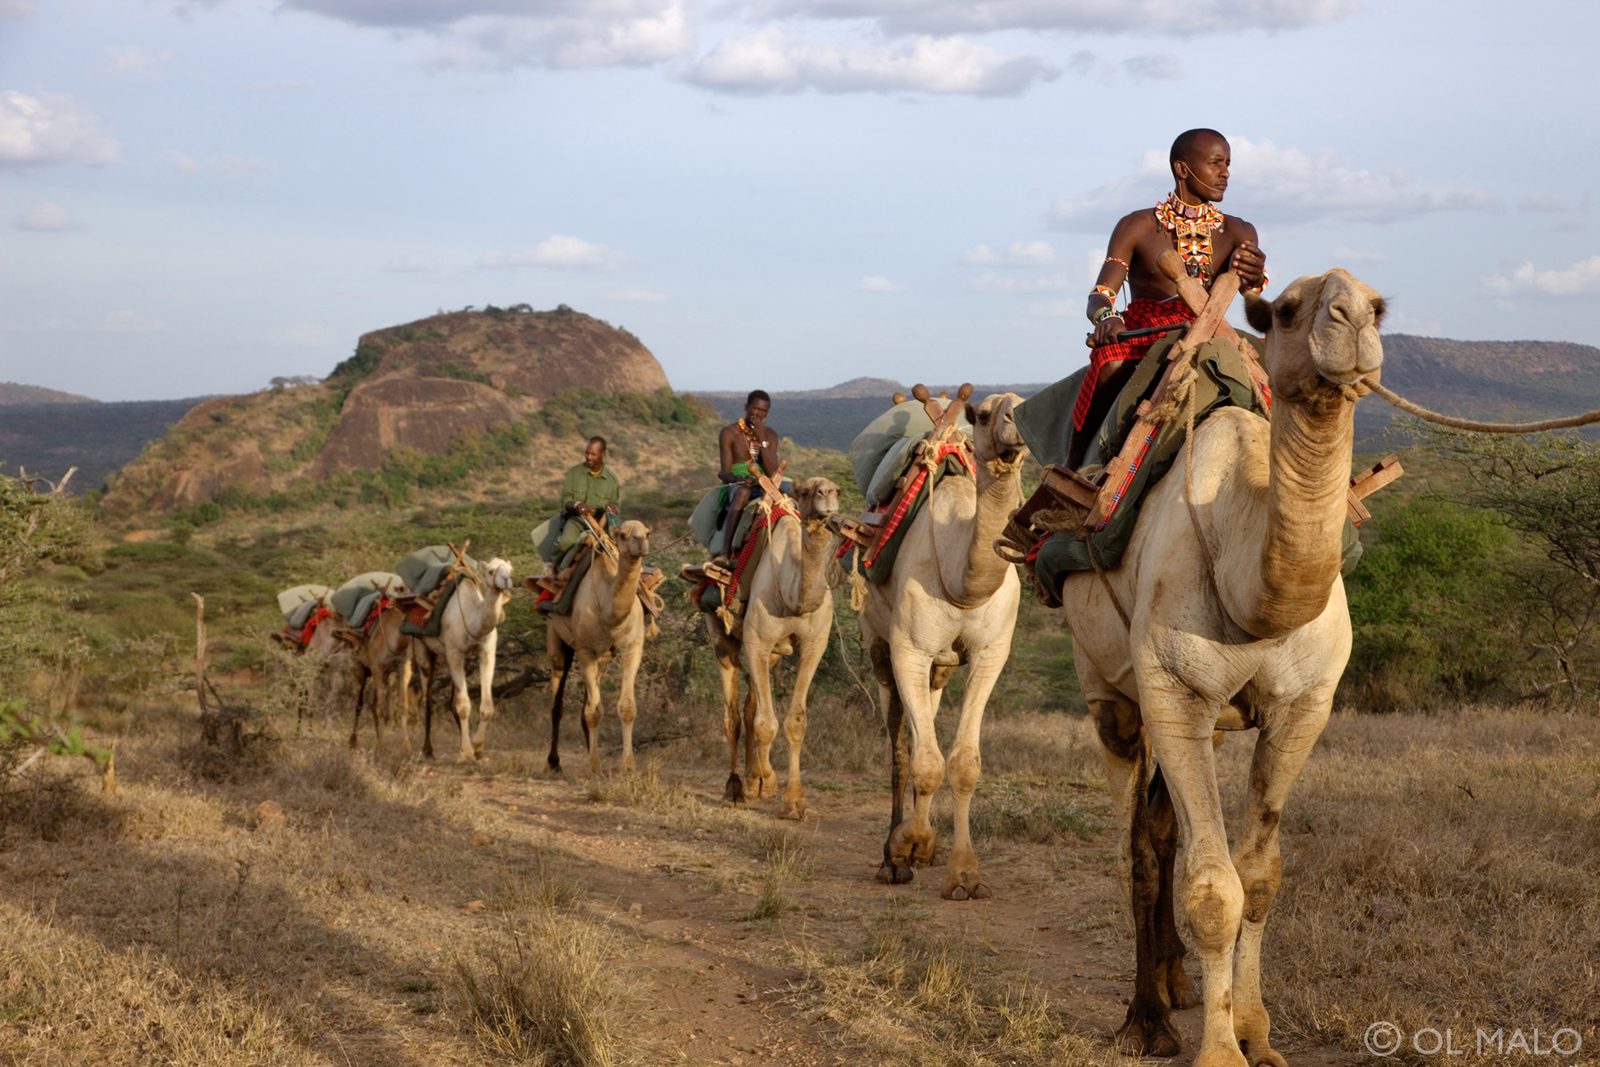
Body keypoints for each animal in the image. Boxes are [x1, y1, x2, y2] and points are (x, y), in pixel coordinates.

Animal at [402, 556, 515, 763]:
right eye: (491, 570)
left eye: (510, 570)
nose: (506, 580)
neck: (472, 619)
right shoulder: (454, 653)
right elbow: (463, 706)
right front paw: (469, 753)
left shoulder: (487, 653)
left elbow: (486, 706)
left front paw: (477, 747)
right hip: (421, 646)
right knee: (427, 697)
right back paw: (427, 750)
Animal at [544, 520, 652, 775]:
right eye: (622, 535)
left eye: (647, 532)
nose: (641, 542)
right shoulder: (585, 651)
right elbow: (593, 711)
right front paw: (594, 765)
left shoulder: (632, 647)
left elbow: (626, 707)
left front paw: (628, 765)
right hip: (556, 640)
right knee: (557, 702)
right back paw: (553, 762)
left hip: (602, 657)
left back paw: (587, 749)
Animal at [706, 477, 840, 816]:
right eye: (806, 491)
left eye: (838, 490)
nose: (827, 495)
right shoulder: (757, 642)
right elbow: (766, 723)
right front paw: (767, 781)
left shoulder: (814, 645)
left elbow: (796, 721)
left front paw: (793, 801)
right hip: (722, 638)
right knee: (732, 716)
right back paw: (735, 788)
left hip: (775, 655)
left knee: (749, 706)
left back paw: (751, 779)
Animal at [860, 392, 1027, 900]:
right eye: (987, 414)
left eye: (1024, 402)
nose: (1017, 426)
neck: (961, 578)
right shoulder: (908, 649)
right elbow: (924, 761)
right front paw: (909, 845)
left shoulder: (991, 654)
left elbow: (963, 763)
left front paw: (964, 875)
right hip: (878, 645)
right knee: (899, 744)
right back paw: (890, 857)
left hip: (941, 666)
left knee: (925, 725)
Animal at [1060, 269, 1385, 1067]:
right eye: (1288, 309)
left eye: (1380, 305)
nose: (1353, 316)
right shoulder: (1174, 693)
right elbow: (1213, 889)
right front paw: (1216, 1049)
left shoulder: (1306, 704)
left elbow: (1260, 877)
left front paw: (1255, 1031)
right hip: (1109, 695)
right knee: (1137, 850)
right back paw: (1146, 1017)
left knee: (1161, 830)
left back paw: (1176, 983)